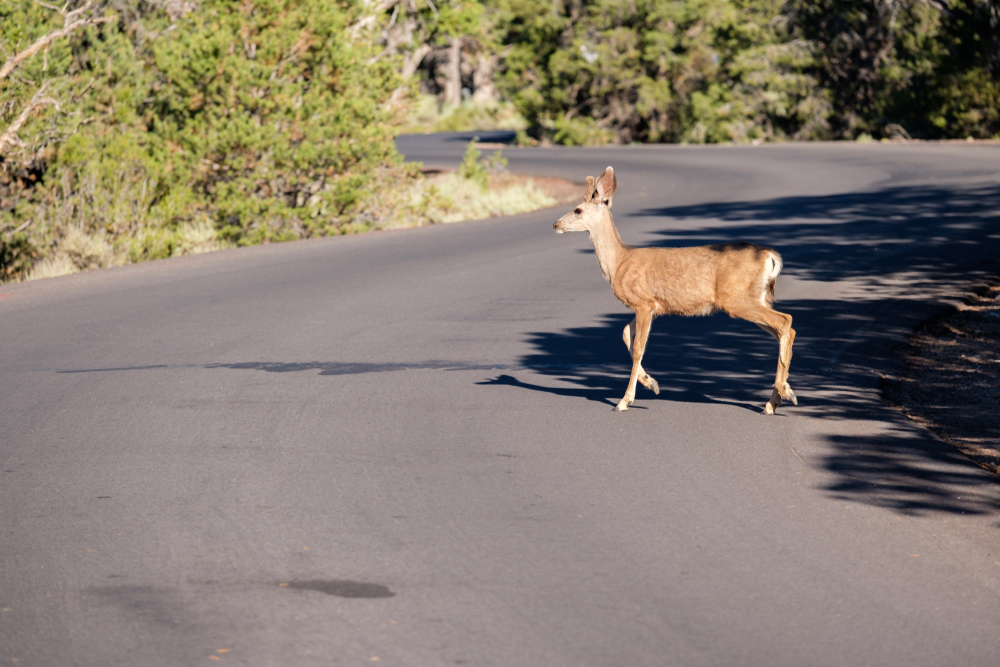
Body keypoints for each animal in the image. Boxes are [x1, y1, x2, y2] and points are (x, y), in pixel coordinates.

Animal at [553, 166, 797, 415]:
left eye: (578, 209)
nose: (555, 224)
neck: (619, 262)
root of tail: (770, 256)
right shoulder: (652, 307)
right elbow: (625, 334)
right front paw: (651, 383)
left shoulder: (644, 302)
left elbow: (639, 347)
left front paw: (625, 400)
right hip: (756, 298)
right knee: (785, 329)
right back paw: (773, 402)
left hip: (738, 299)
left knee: (786, 321)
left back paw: (785, 392)